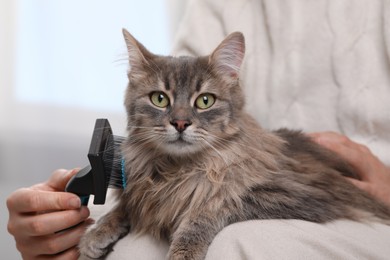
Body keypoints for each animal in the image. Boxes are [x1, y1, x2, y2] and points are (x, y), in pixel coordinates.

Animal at [78, 29, 390, 258]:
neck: (179, 171)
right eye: (160, 99)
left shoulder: (296, 196)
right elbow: (128, 206)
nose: (180, 123)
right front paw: (96, 234)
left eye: (205, 101)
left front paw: (183, 249)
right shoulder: (141, 188)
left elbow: (211, 207)